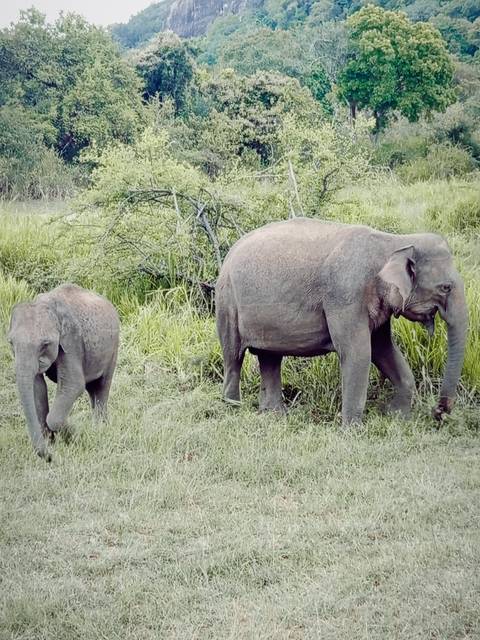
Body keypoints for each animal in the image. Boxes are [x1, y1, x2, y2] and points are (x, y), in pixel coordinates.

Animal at [8, 284, 120, 461]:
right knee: (92, 388)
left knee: (102, 385)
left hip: (113, 349)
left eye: (45, 344)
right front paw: (52, 440)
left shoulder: (72, 342)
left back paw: (100, 429)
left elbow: (73, 384)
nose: (50, 458)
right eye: (11, 343)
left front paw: (73, 432)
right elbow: (37, 387)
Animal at [216, 218, 468, 425]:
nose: (438, 412)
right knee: (233, 355)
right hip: (227, 300)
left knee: (269, 356)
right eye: (446, 287)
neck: (394, 241)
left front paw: (397, 416)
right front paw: (353, 429)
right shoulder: (346, 295)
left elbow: (383, 349)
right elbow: (359, 352)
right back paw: (233, 408)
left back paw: (273, 415)